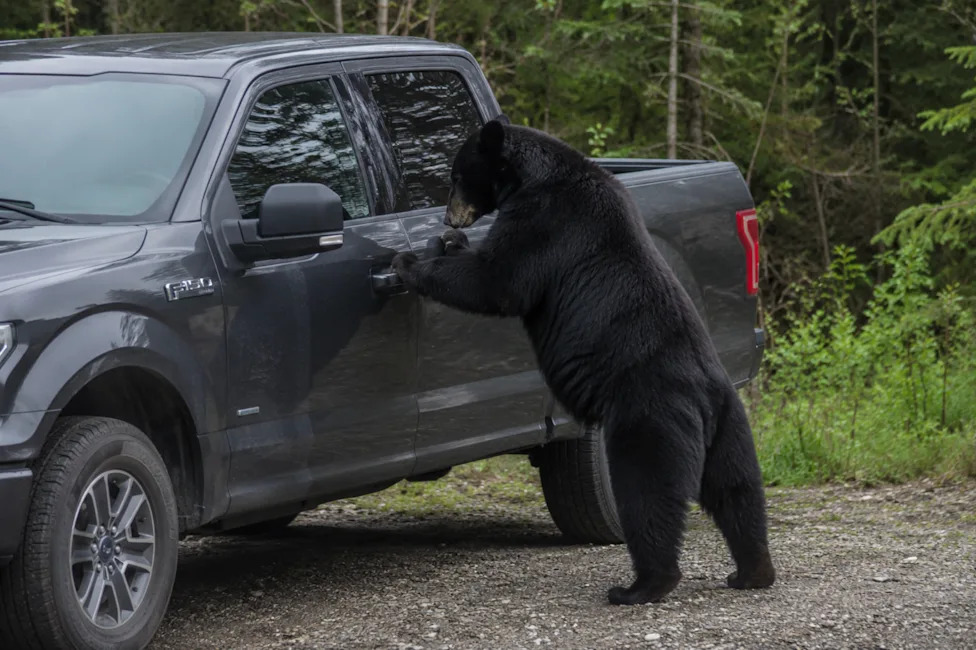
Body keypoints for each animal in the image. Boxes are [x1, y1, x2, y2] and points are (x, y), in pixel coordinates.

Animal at [391, 117, 776, 605]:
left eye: (457, 175)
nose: (448, 218)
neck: (535, 177)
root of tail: (704, 401)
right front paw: (449, 243)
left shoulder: (545, 223)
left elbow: (497, 280)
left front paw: (409, 262)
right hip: (732, 428)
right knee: (738, 491)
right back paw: (751, 571)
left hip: (649, 421)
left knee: (648, 496)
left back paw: (640, 586)